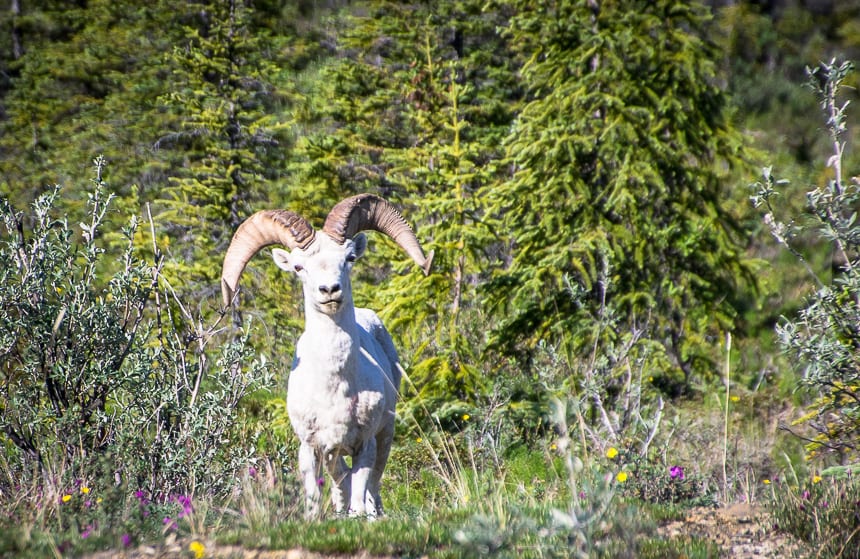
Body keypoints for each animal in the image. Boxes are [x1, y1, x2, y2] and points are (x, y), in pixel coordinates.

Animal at [220, 196, 430, 520]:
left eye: (349, 258)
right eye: (298, 267)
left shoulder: (365, 445)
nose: (329, 290)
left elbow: (360, 492)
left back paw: (374, 514)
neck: (335, 388)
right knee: (339, 479)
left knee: (372, 486)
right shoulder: (310, 447)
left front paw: (359, 518)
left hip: (385, 435)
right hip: (334, 453)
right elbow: (314, 496)